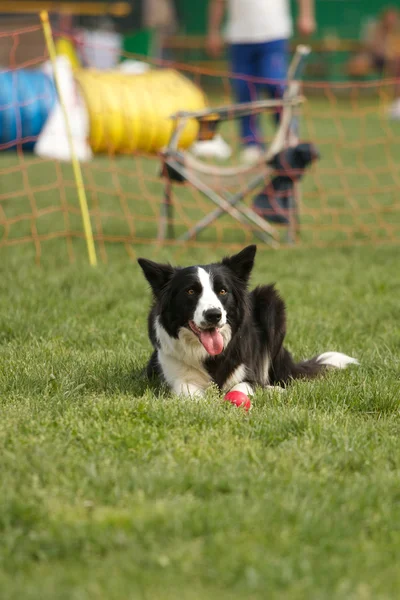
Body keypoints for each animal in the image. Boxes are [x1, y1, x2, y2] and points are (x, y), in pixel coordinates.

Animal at [138, 245, 356, 398]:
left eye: (222, 291)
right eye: (190, 291)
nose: (214, 315)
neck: (210, 357)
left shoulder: (248, 373)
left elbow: (243, 387)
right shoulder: (176, 377)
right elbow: (190, 393)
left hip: (271, 301)